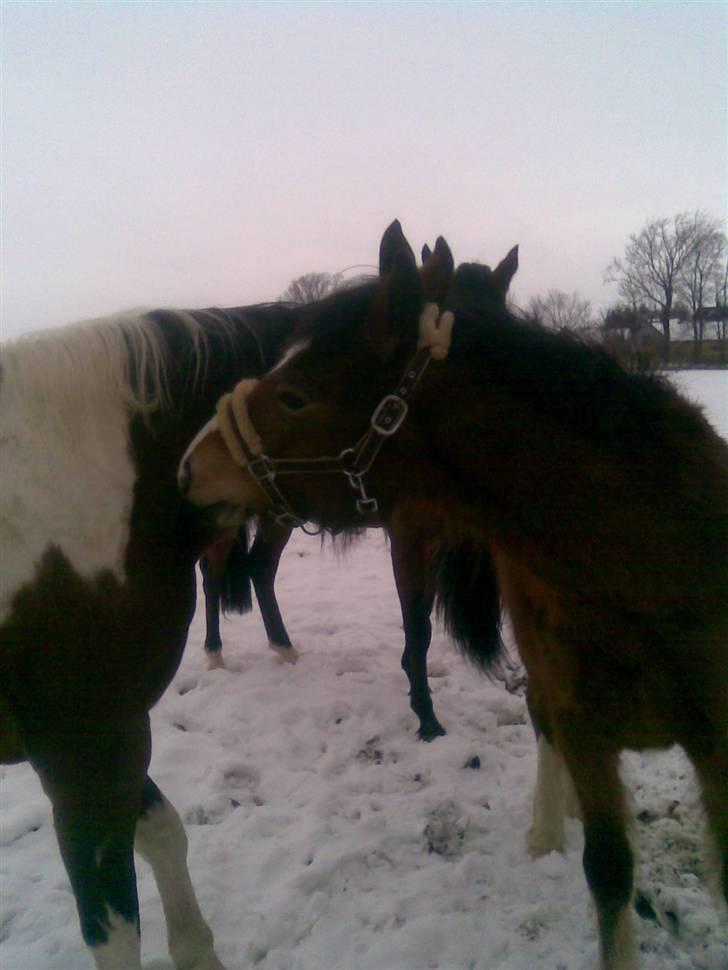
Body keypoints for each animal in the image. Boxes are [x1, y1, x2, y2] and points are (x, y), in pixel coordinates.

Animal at [181, 225, 728, 968]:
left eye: (294, 395)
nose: (190, 464)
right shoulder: (415, 536)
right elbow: (416, 632)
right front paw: (426, 716)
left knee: (258, 573)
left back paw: (283, 648)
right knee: (218, 574)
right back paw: (215, 652)